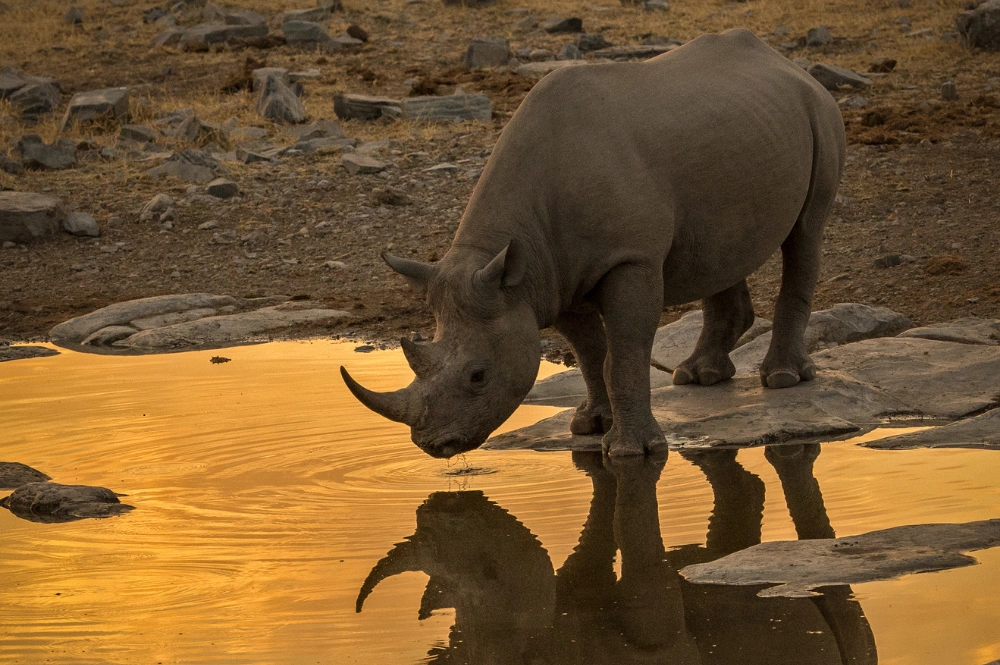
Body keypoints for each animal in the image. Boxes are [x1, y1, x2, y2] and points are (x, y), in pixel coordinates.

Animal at [341, 28, 846, 458]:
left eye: (479, 376)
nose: (433, 446)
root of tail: (786, 62)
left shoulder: (629, 259)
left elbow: (623, 351)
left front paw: (631, 451)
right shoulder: (548, 276)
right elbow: (590, 351)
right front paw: (590, 425)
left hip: (820, 112)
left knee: (806, 232)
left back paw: (782, 379)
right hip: (747, 124)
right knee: (722, 250)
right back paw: (699, 377)